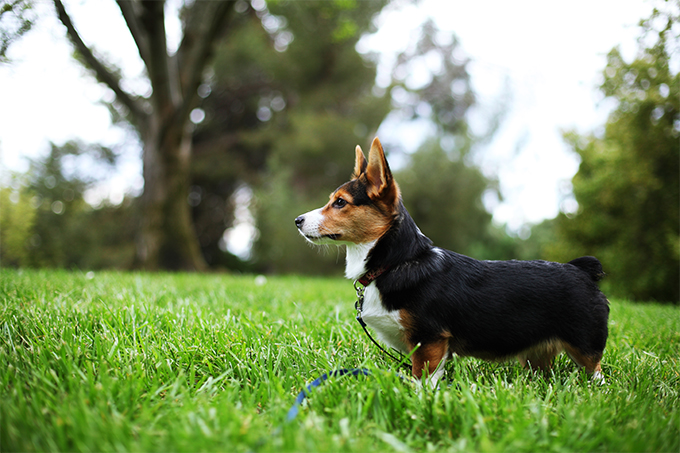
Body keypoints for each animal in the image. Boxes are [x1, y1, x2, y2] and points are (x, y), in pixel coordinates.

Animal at [294, 137, 608, 384]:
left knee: (596, 372)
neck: (395, 262)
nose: (297, 220)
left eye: (340, 202)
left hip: (584, 345)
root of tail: (580, 270)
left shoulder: (430, 340)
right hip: (536, 356)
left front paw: (420, 401)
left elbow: (423, 379)